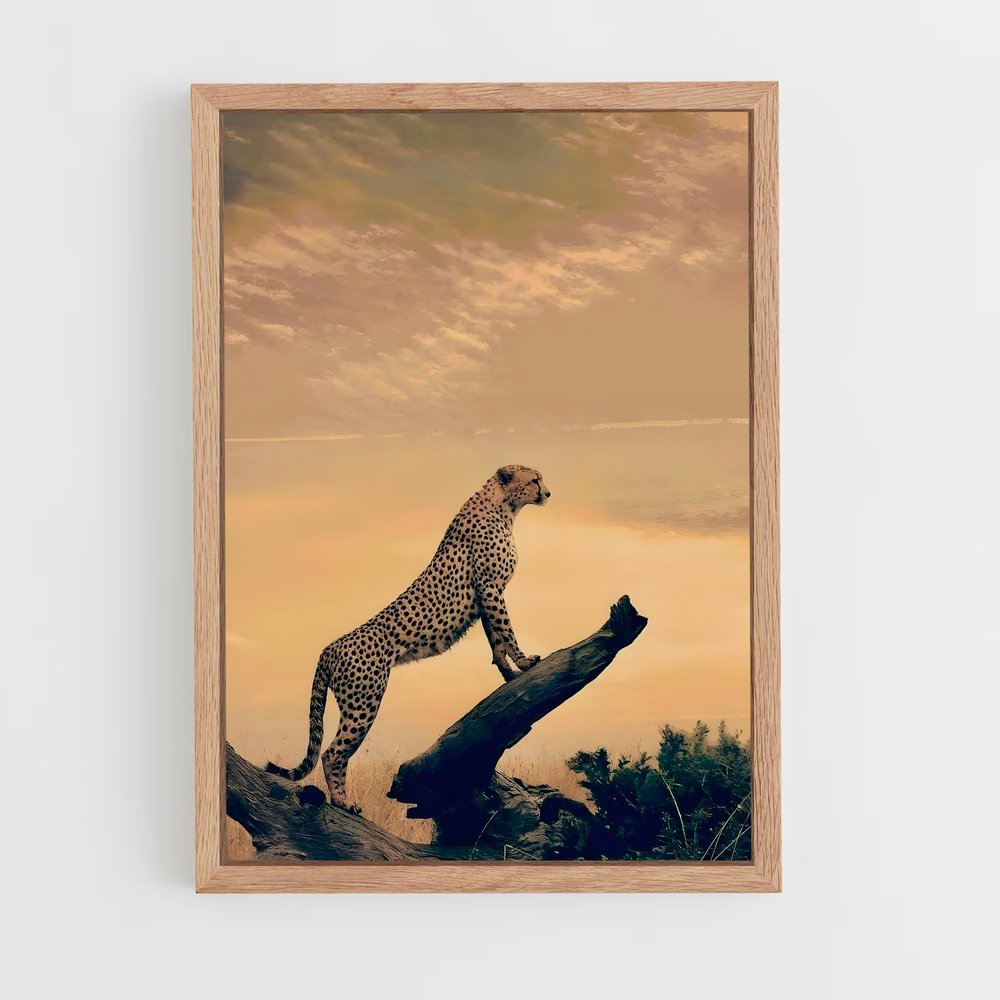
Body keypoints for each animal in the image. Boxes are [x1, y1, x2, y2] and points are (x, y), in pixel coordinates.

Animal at [265, 463, 552, 812]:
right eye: (534, 479)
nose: (548, 492)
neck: (504, 507)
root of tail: (329, 647)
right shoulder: (490, 587)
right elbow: (507, 630)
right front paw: (525, 662)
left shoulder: (486, 596)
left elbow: (496, 640)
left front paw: (509, 673)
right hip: (364, 702)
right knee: (333, 753)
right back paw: (342, 801)